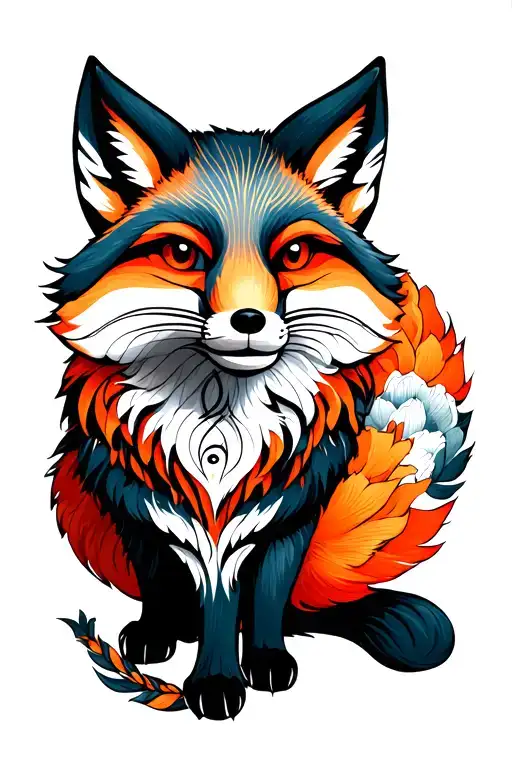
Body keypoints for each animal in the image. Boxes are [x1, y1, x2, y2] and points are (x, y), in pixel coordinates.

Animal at [47, 56, 471, 720]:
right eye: (182, 253)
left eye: (293, 253)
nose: (249, 320)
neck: (220, 429)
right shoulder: (142, 513)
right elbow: (167, 583)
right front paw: (199, 668)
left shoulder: (286, 515)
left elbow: (263, 599)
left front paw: (250, 667)